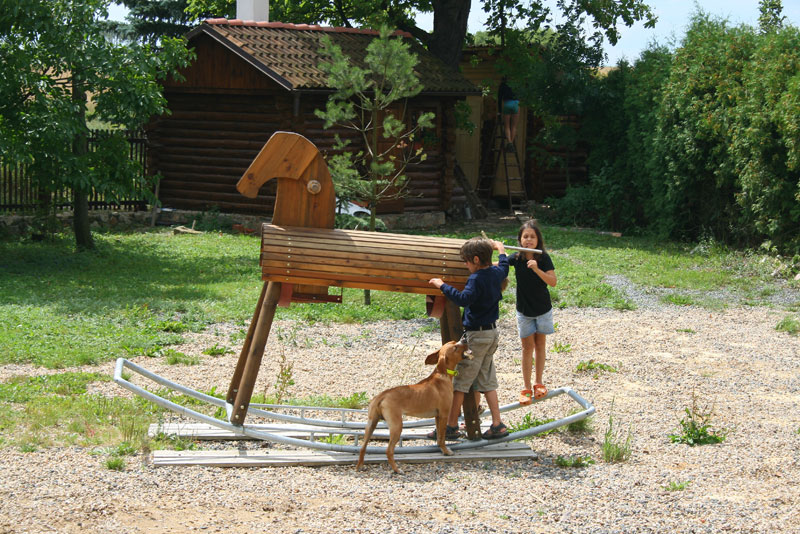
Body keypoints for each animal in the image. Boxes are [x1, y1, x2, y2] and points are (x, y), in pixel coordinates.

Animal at [356, 340, 471, 474]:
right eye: (455, 347)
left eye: (454, 342)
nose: (464, 339)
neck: (442, 375)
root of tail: (382, 396)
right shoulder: (443, 415)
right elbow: (442, 438)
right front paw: (446, 451)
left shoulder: (437, 416)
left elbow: (439, 438)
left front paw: (442, 450)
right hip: (397, 426)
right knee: (389, 450)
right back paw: (397, 470)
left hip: (371, 424)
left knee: (362, 447)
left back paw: (359, 466)